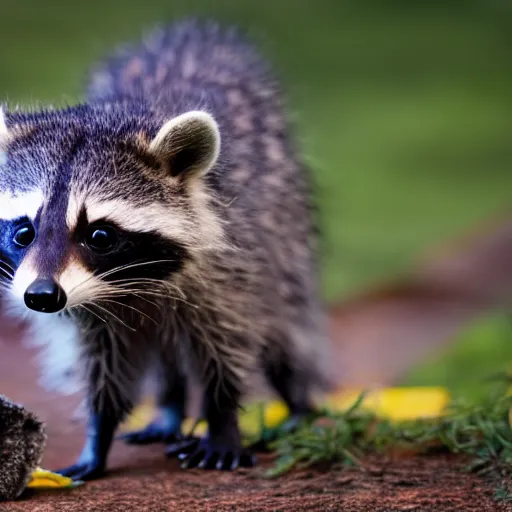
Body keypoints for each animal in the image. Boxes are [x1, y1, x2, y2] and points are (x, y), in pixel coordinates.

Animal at [0, 19, 332, 480]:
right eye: (24, 233)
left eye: (99, 236)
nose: (41, 297)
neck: (131, 282)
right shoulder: (91, 316)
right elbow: (102, 371)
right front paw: (98, 434)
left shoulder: (230, 269)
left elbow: (227, 352)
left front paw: (223, 422)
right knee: (166, 358)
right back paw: (170, 410)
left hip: (288, 234)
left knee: (289, 326)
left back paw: (297, 400)